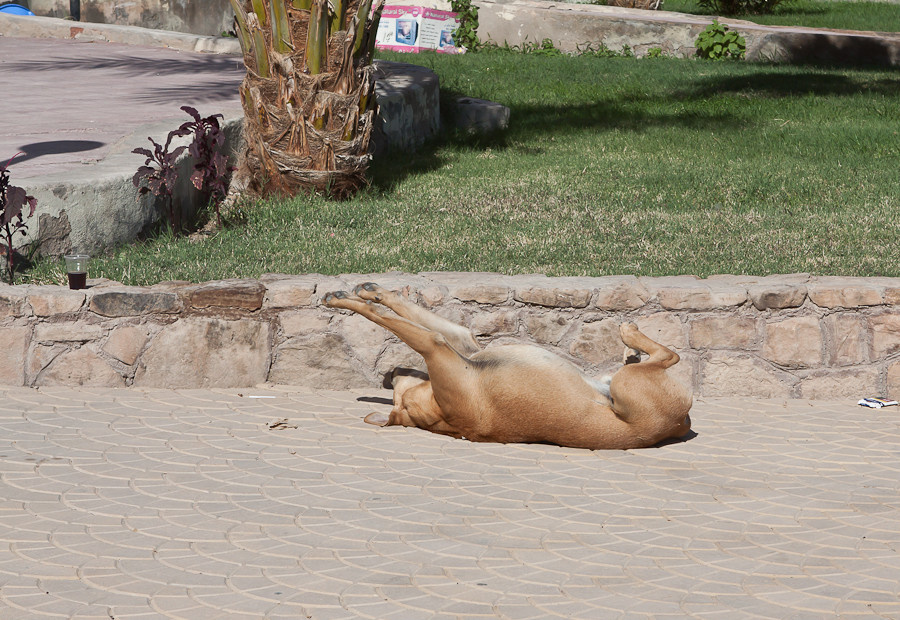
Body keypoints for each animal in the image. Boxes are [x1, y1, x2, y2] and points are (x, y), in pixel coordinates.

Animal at [326, 282, 696, 450]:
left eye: (396, 392)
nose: (389, 376)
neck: (439, 412)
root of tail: (678, 426)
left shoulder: (461, 343)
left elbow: (398, 310)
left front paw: (368, 292)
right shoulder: (438, 346)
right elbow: (392, 321)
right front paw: (350, 301)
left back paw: (630, 346)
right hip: (627, 384)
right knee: (669, 357)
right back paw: (630, 337)